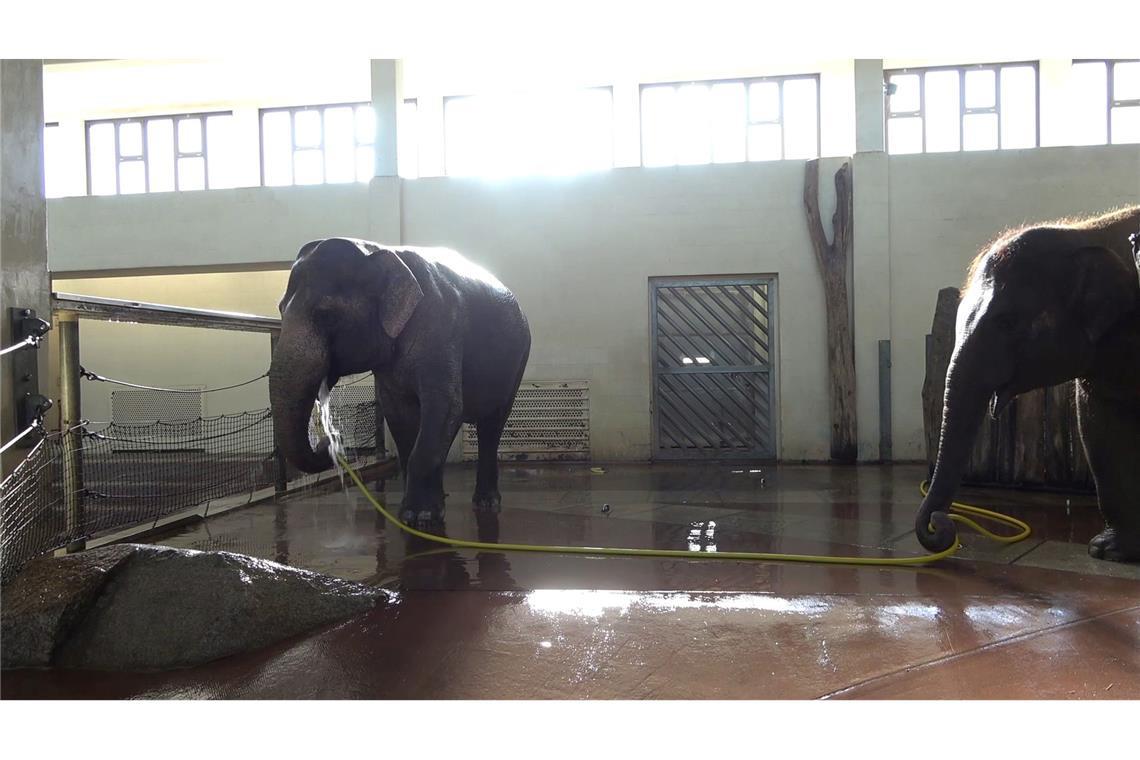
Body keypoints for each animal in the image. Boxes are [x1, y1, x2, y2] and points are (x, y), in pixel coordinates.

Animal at [269, 238, 531, 524]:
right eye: (280, 310)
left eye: (326, 315)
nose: (331, 440)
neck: (379, 251)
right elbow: (399, 414)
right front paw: (417, 513)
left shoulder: (441, 329)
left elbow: (445, 405)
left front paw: (420, 517)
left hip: (518, 359)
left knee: (491, 424)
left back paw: (486, 503)